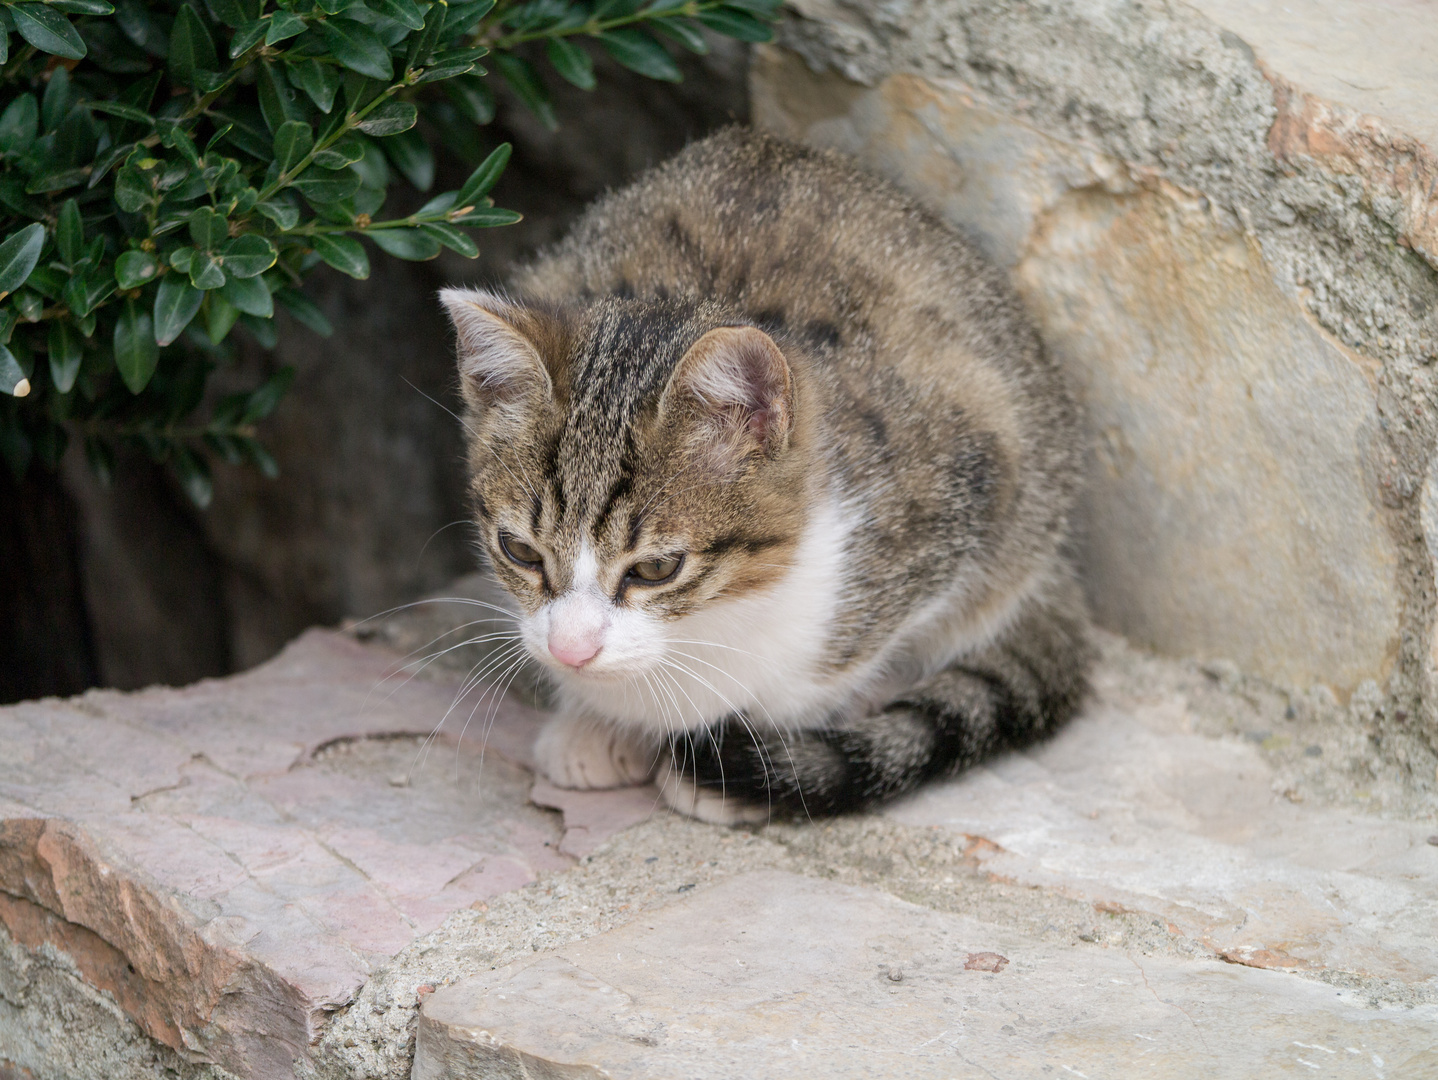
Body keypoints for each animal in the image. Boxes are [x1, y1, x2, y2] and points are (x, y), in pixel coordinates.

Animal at [437, 126, 1087, 822]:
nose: (570, 651)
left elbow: (822, 676)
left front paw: (745, 755)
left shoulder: (965, 487)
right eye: (519, 551)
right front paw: (594, 723)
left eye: (657, 568)